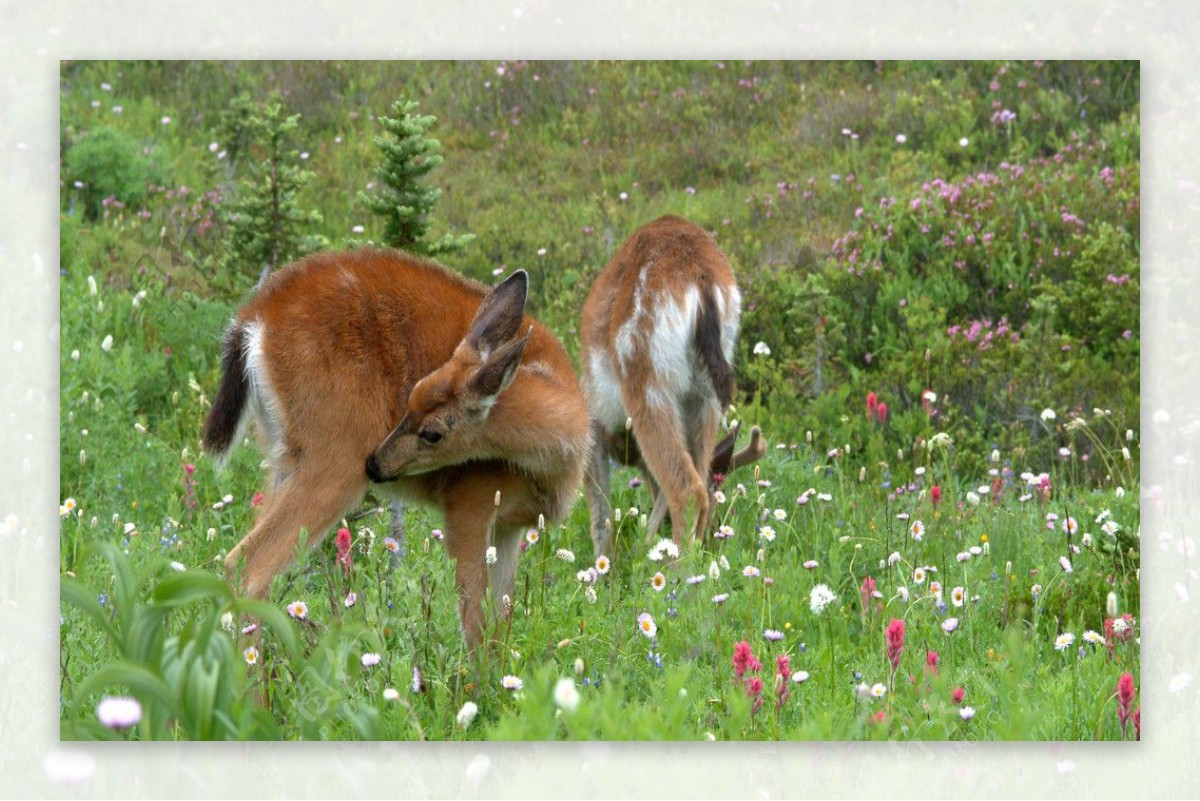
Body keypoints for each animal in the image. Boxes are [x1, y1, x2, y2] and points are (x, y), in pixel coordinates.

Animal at [204, 248, 592, 652]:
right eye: (409, 399)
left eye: (432, 432)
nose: (376, 464)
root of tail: (254, 318)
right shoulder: (470, 502)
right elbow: (476, 628)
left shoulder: (510, 527)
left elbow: (501, 627)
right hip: (334, 458)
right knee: (246, 565)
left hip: (283, 457)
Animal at [583, 215, 768, 561]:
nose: (715, 538)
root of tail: (702, 280)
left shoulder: (593, 419)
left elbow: (600, 511)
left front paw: (607, 568)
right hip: (706, 395)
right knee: (696, 477)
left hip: (647, 378)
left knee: (685, 488)